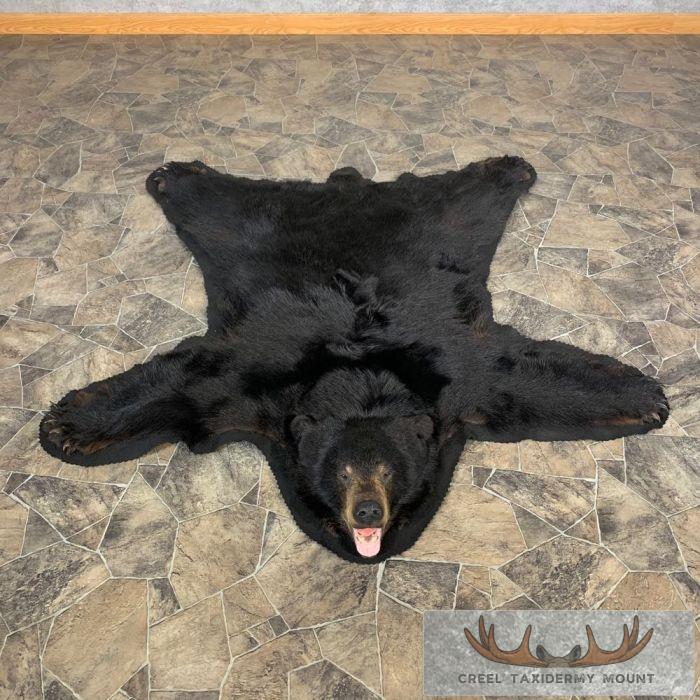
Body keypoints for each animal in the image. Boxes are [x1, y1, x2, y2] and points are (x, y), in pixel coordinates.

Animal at [40, 157, 668, 563]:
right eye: (340, 471)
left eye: (389, 470)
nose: (367, 512)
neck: (360, 378)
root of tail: (347, 188)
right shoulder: (250, 380)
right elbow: (186, 387)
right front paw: (67, 425)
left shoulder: (458, 378)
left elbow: (523, 384)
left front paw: (644, 398)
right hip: (247, 230)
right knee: (214, 207)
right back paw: (175, 175)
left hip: (445, 225)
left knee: (469, 197)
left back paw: (509, 169)